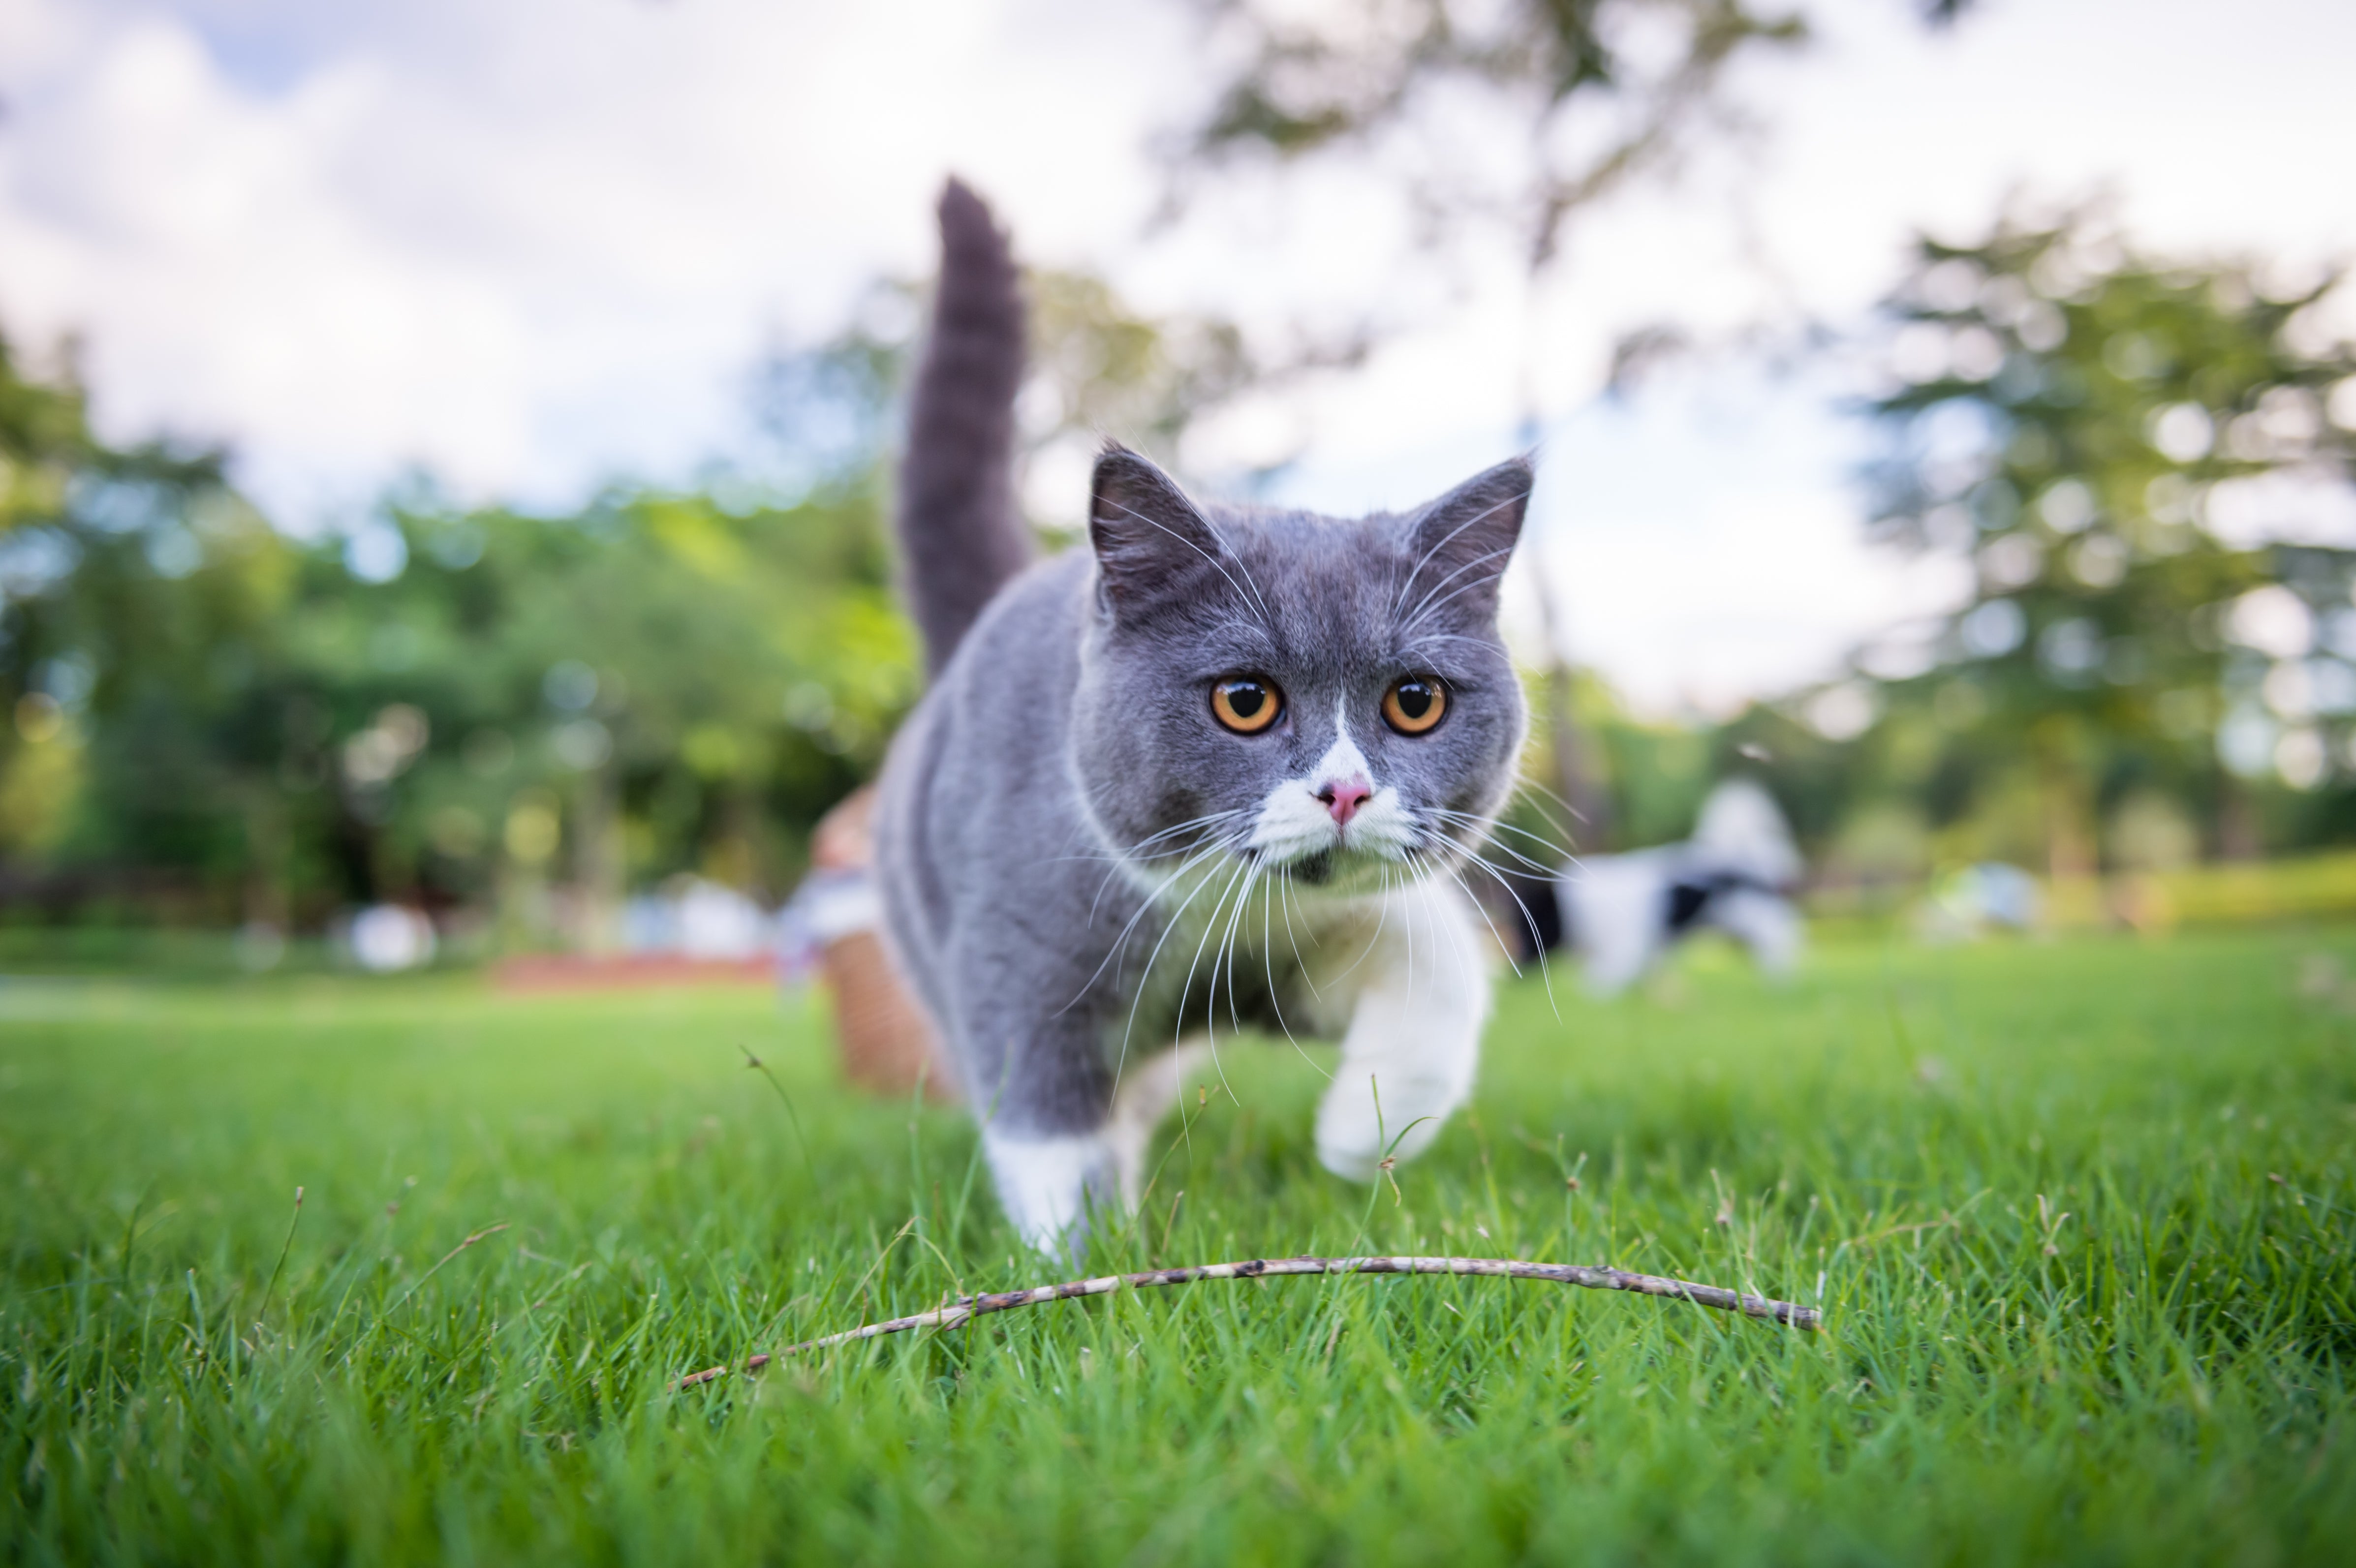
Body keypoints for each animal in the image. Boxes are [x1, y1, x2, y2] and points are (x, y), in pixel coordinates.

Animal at [876, 180, 1536, 1261]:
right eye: (1245, 699)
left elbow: (1438, 958)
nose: (1345, 789)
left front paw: (1362, 1132)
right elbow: (1045, 1121)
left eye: (1415, 701)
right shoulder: (1018, 946)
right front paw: (1090, 1262)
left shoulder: (1307, 944)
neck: (1213, 927)